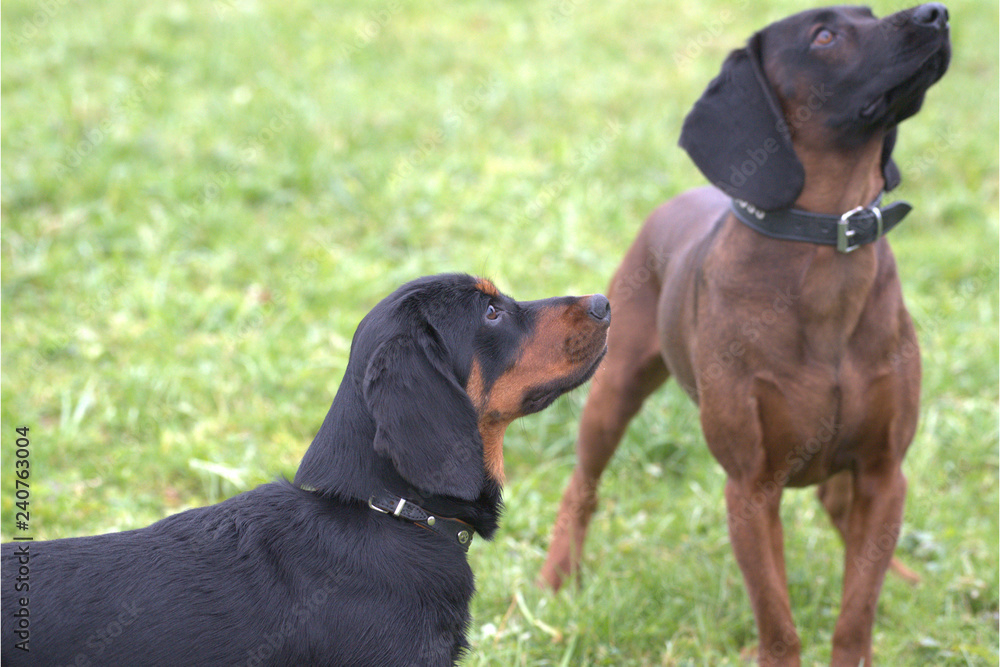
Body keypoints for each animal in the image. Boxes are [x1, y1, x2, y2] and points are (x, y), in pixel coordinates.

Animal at [540, 6, 952, 667]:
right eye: (824, 35)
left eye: (867, 13)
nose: (936, 13)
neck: (826, 247)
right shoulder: (752, 490)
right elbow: (779, 625)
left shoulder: (884, 471)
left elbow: (855, 615)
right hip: (614, 391)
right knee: (582, 486)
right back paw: (556, 577)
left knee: (844, 515)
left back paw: (904, 576)